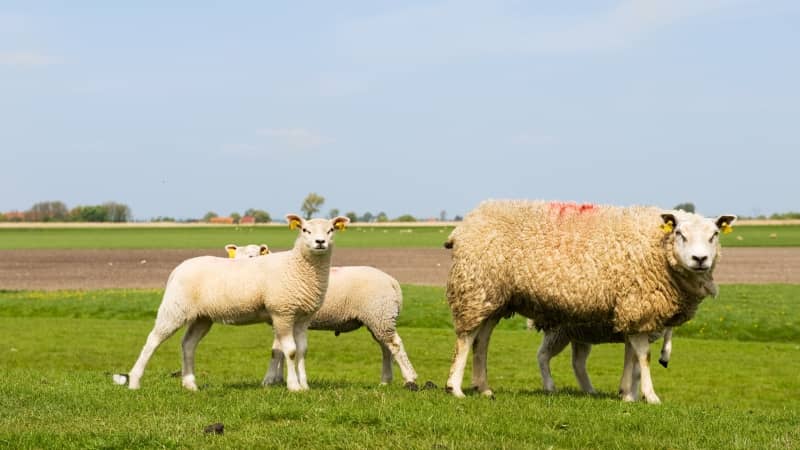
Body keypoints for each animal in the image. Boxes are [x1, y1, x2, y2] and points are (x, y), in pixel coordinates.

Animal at [111, 214, 346, 390]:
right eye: (305, 230)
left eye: (330, 230)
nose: (320, 242)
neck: (297, 266)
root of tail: (178, 268)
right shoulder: (282, 312)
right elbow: (290, 350)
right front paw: (294, 386)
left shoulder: (303, 317)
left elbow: (302, 350)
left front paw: (304, 385)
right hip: (174, 309)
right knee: (153, 340)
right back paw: (134, 381)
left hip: (201, 317)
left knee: (188, 344)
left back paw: (190, 384)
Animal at [228, 244, 418, 388]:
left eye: (252, 256)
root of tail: (392, 281)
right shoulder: (281, 319)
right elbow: (280, 350)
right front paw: (280, 380)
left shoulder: (283, 315)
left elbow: (276, 351)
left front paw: (268, 381)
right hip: (379, 318)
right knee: (386, 348)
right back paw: (385, 381)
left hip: (379, 314)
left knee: (395, 345)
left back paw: (410, 379)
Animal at [444, 200, 736, 404]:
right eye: (679, 233)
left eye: (714, 235)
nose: (700, 259)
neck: (655, 245)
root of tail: (468, 222)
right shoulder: (637, 304)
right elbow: (643, 356)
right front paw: (649, 396)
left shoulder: (631, 311)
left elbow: (632, 357)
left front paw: (627, 393)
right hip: (475, 287)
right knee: (466, 339)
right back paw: (455, 388)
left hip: (493, 299)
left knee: (482, 340)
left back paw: (483, 388)